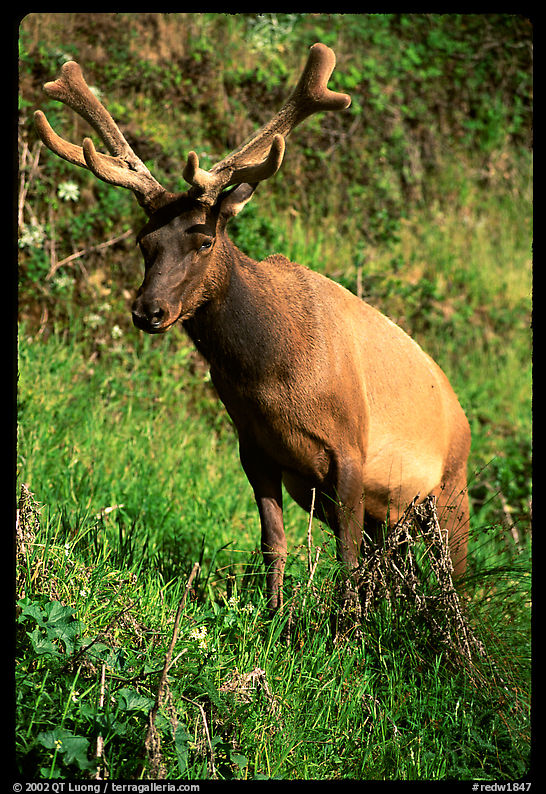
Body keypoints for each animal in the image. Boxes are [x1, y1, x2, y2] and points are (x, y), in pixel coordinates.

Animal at [34, 43, 471, 612]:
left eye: (204, 241)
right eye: (144, 243)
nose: (147, 311)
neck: (272, 378)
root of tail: (463, 416)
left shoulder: (352, 451)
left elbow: (346, 560)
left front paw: (341, 630)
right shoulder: (255, 449)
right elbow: (273, 544)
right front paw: (275, 618)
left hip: (452, 492)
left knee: (455, 578)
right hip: (392, 513)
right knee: (397, 569)